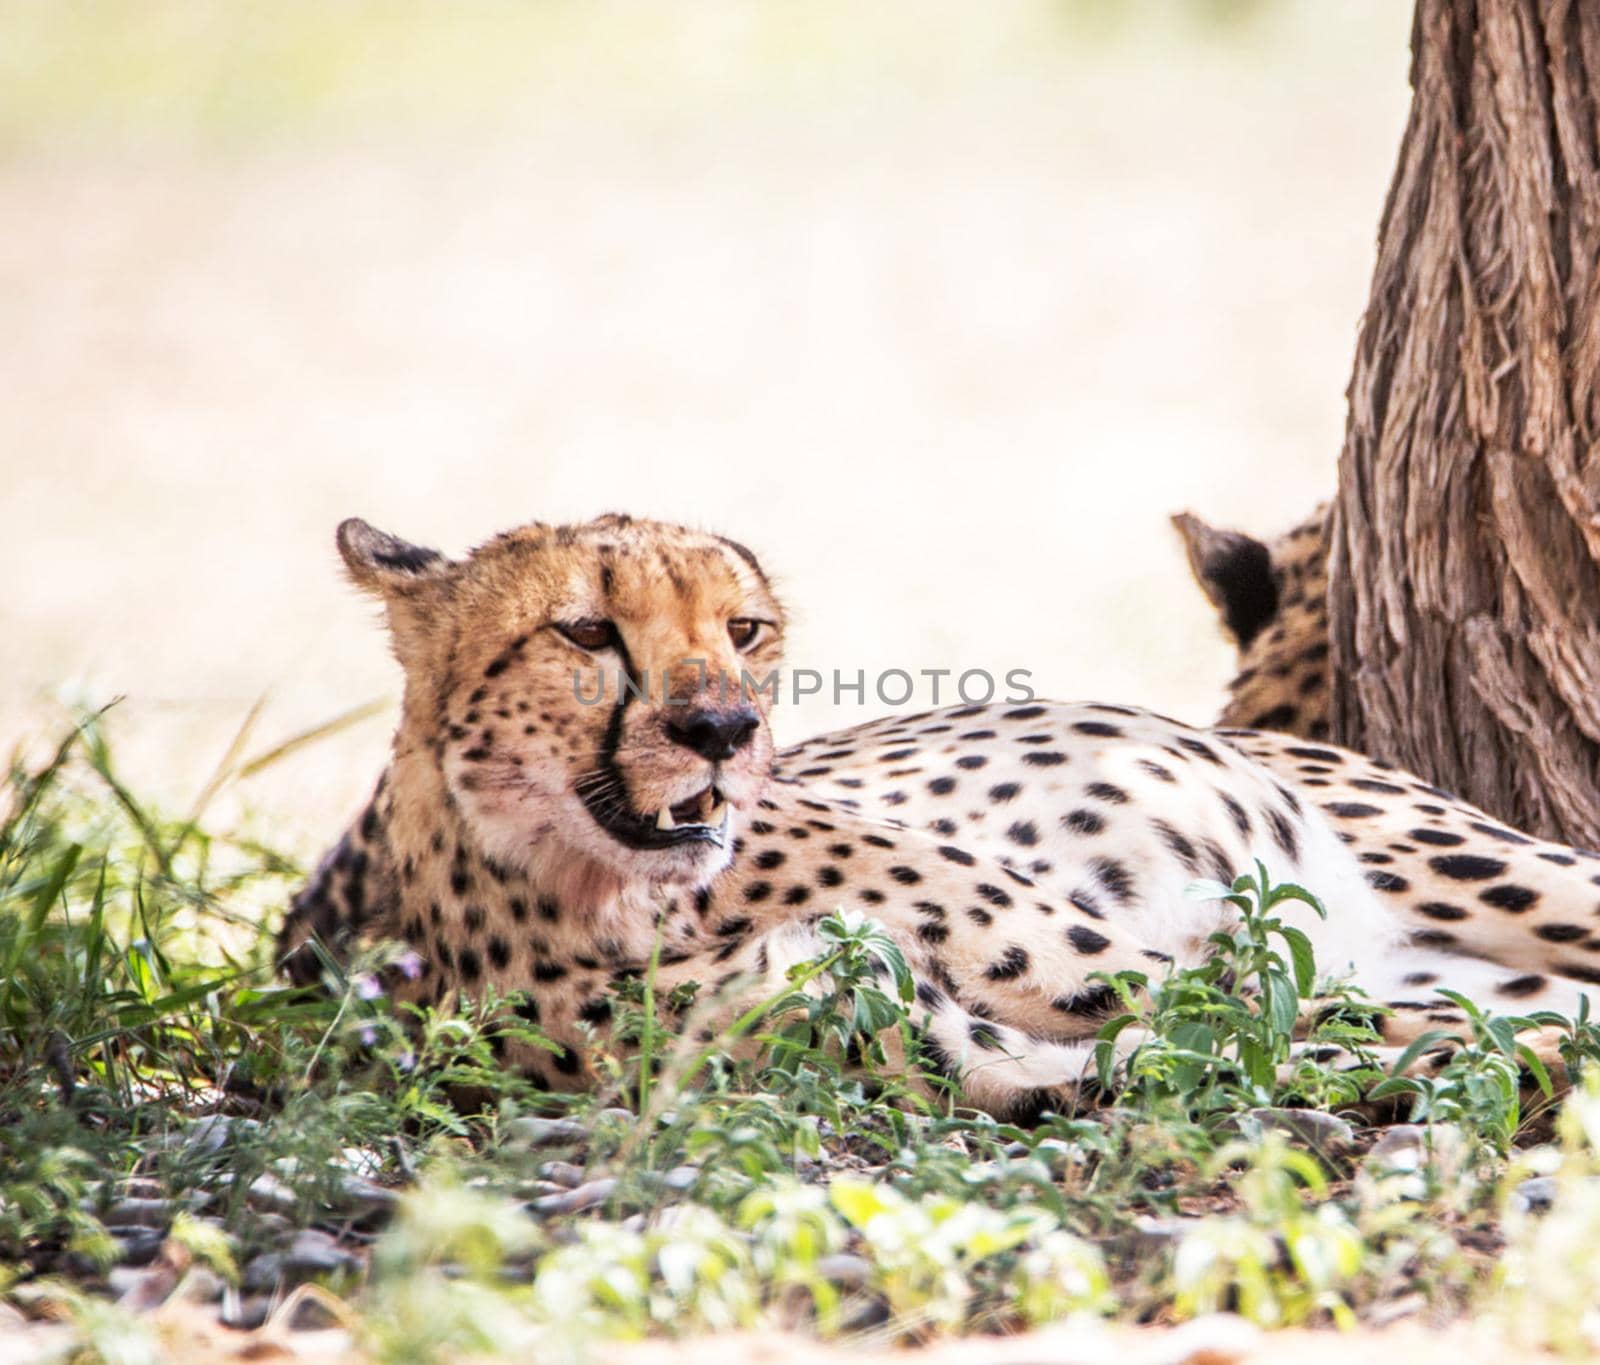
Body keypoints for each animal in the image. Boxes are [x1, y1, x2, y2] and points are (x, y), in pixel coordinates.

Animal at [281, 512, 1600, 1120]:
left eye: (744, 630)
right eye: (586, 630)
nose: (722, 730)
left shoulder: (1134, 973)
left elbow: (1318, 1022)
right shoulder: (975, 1056)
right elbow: (1292, 1053)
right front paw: (1518, 1065)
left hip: (1491, 871)